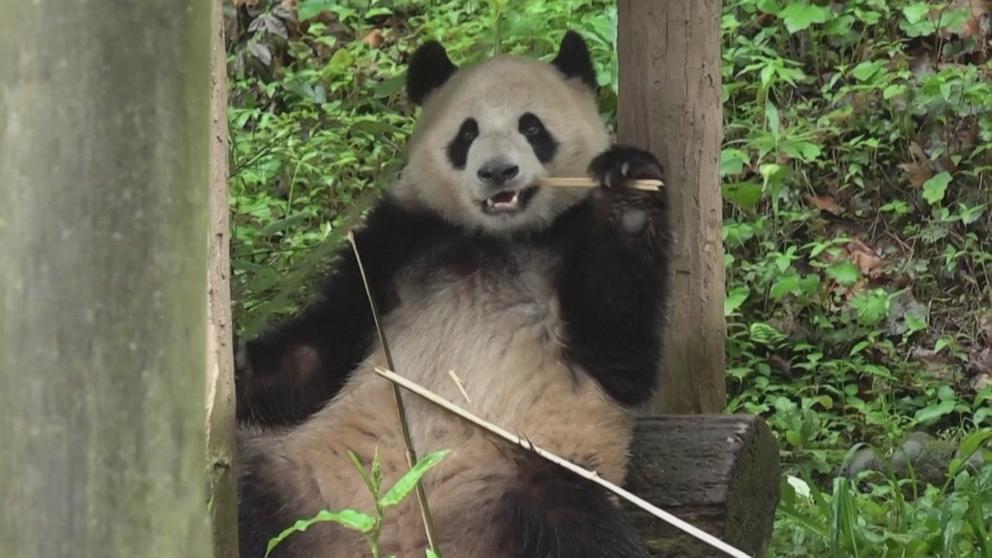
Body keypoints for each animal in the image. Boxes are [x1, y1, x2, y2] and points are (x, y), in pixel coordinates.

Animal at [238, 30, 676, 558]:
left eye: (532, 127)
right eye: (466, 134)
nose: (497, 172)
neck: (495, 239)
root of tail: (404, 538)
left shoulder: (568, 248)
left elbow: (621, 355)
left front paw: (630, 196)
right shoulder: (397, 243)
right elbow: (320, 349)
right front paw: (239, 368)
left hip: (525, 472)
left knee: (577, 527)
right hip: (311, 475)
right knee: (251, 493)